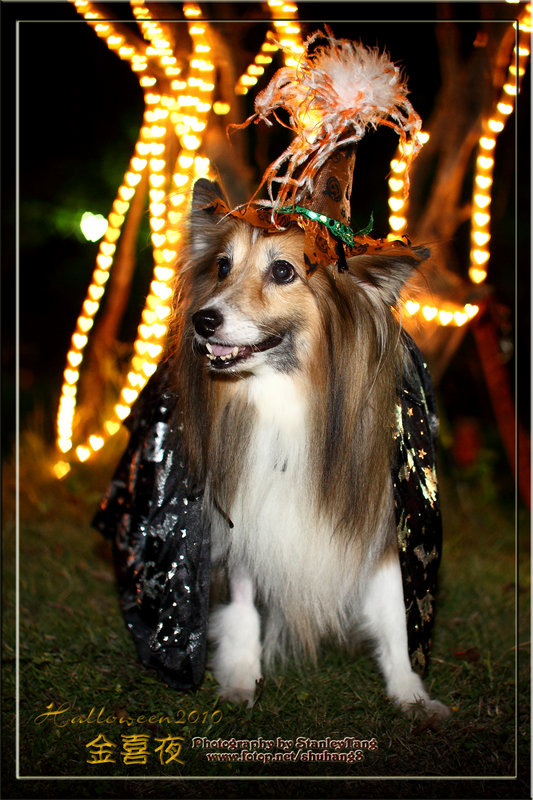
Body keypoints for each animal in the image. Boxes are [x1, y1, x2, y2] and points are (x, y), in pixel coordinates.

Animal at [169, 177, 448, 716]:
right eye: (221, 266)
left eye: (283, 271)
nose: (202, 320)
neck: (285, 392)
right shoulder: (242, 512)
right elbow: (243, 604)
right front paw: (242, 677)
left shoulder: (377, 516)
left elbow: (393, 614)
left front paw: (409, 692)